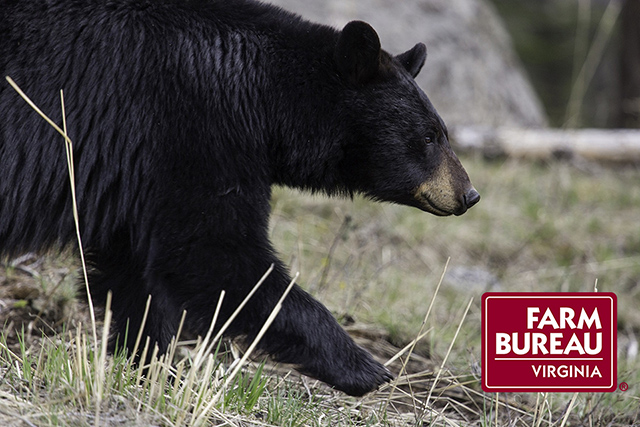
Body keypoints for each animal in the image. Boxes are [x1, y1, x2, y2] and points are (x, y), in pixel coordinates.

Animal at [0, 0, 479, 396]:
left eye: (442, 132)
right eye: (429, 136)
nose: (469, 194)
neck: (264, 94)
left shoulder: (138, 175)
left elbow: (135, 272)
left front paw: (151, 367)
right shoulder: (193, 128)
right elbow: (213, 254)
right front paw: (365, 367)